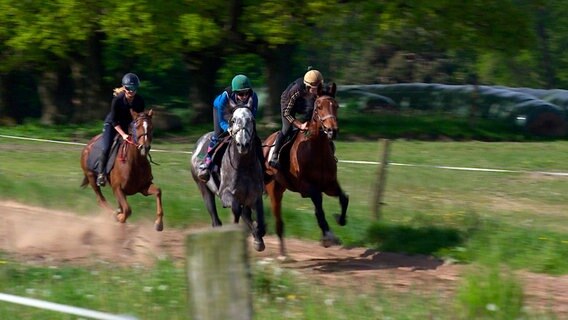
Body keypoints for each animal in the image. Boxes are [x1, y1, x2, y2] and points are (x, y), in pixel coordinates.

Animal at [189, 106, 264, 251]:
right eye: (233, 120)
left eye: (251, 120)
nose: (243, 144)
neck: (243, 166)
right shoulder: (226, 194)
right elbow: (236, 209)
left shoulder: (255, 196)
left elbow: (258, 218)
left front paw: (258, 238)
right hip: (203, 188)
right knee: (214, 216)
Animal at [260, 83, 346, 258]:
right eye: (318, 107)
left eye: (336, 106)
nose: (332, 131)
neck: (316, 150)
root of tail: (266, 143)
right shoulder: (307, 188)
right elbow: (319, 208)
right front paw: (328, 236)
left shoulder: (330, 184)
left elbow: (344, 198)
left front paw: (340, 220)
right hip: (274, 190)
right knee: (278, 221)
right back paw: (282, 255)